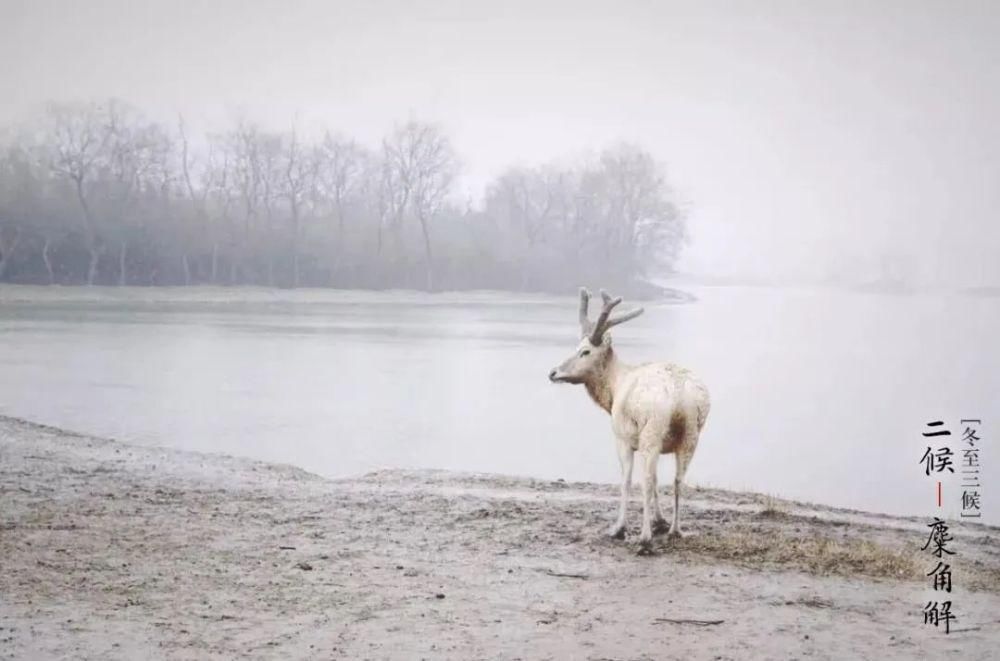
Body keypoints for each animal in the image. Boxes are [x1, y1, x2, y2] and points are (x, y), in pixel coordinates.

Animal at [548, 288, 712, 548]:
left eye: (585, 351)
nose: (553, 372)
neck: (613, 390)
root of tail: (679, 396)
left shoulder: (622, 437)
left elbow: (626, 480)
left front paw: (619, 528)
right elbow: (659, 479)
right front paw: (660, 521)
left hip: (651, 430)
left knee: (646, 479)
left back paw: (644, 538)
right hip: (691, 434)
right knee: (677, 479)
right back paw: (675, 530)